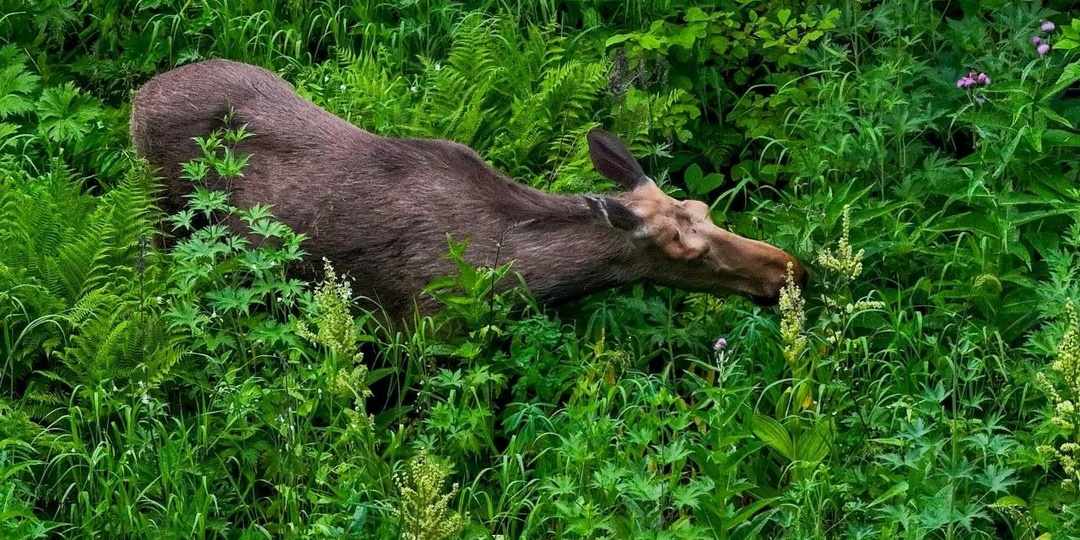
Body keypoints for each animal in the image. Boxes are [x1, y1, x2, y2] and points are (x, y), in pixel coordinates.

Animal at [130, 59, 807, 320]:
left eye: (704, 207)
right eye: (685, 250)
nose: (789, 269)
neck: (520, 275)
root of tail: (136, 97)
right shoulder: (420, 328)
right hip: (165, 211)